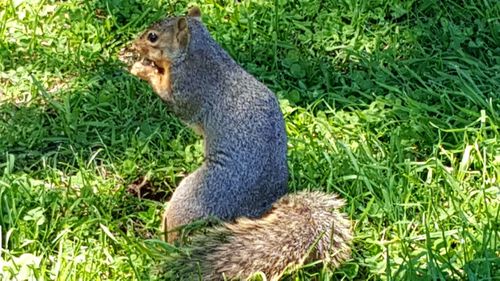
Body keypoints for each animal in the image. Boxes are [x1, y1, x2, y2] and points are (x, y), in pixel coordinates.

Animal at [123, 6, 354, 280]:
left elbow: (174, 101)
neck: (199, 52)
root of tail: (260, 207)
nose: (133, 44)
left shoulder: (188, 86)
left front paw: (142, 69)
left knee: (175, 236)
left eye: (153, 37)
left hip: (196, 198)